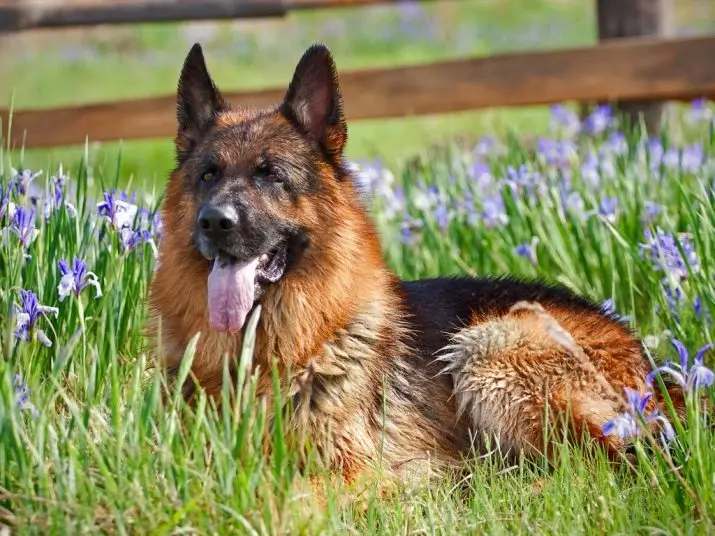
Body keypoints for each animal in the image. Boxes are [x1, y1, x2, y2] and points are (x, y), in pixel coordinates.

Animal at [148, 44, 684, 484]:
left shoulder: (349, 472)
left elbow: (290, 496)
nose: (215, 221)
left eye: (271, 176)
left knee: (618, 461)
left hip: (486, 348)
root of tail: (652, 367)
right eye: (208, 175)